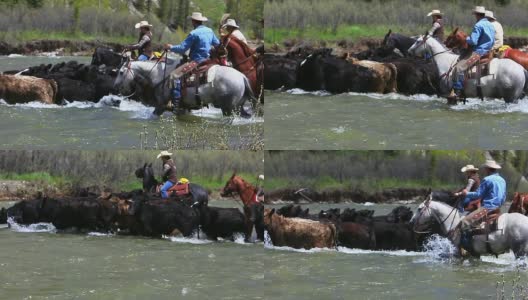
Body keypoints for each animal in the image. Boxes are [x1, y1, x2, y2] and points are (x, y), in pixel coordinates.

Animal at [114, 55, 256, 116]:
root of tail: (242, 77)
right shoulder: (183, 108)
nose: (115, 87)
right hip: (238, 107)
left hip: (227, 108)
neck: (158, 74)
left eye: (121, 72)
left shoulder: (161, 104)